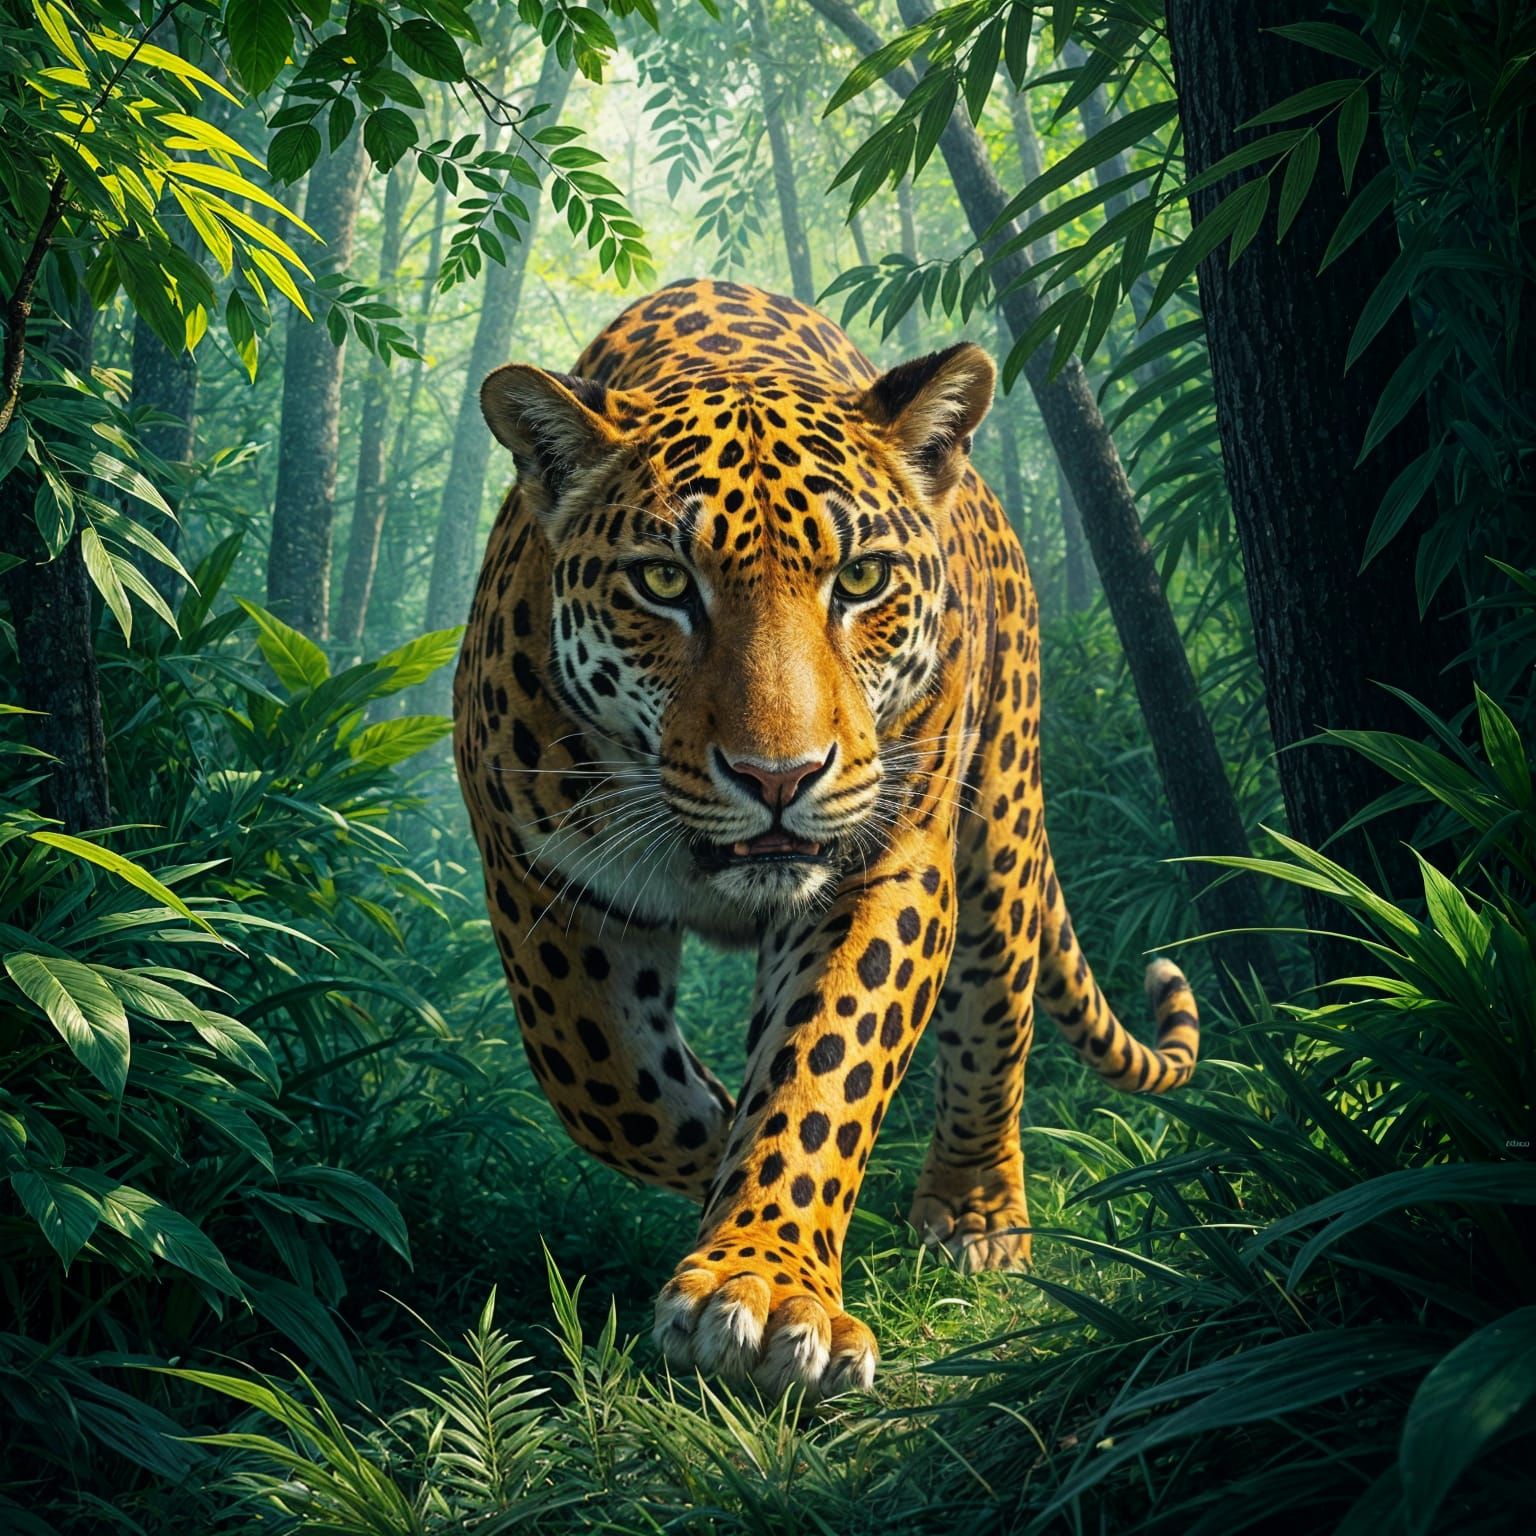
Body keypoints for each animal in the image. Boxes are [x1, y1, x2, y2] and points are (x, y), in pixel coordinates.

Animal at [454, 277, 1200, 1400]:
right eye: (663, 584)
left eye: (862, 580)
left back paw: (975, 1217)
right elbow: (608, 1085)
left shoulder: (881, 868)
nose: (779, 778)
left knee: (996, 1017)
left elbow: (822, 1069)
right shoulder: (543, 880)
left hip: (999, 823)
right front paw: (718, 1169)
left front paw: (757, 1284)